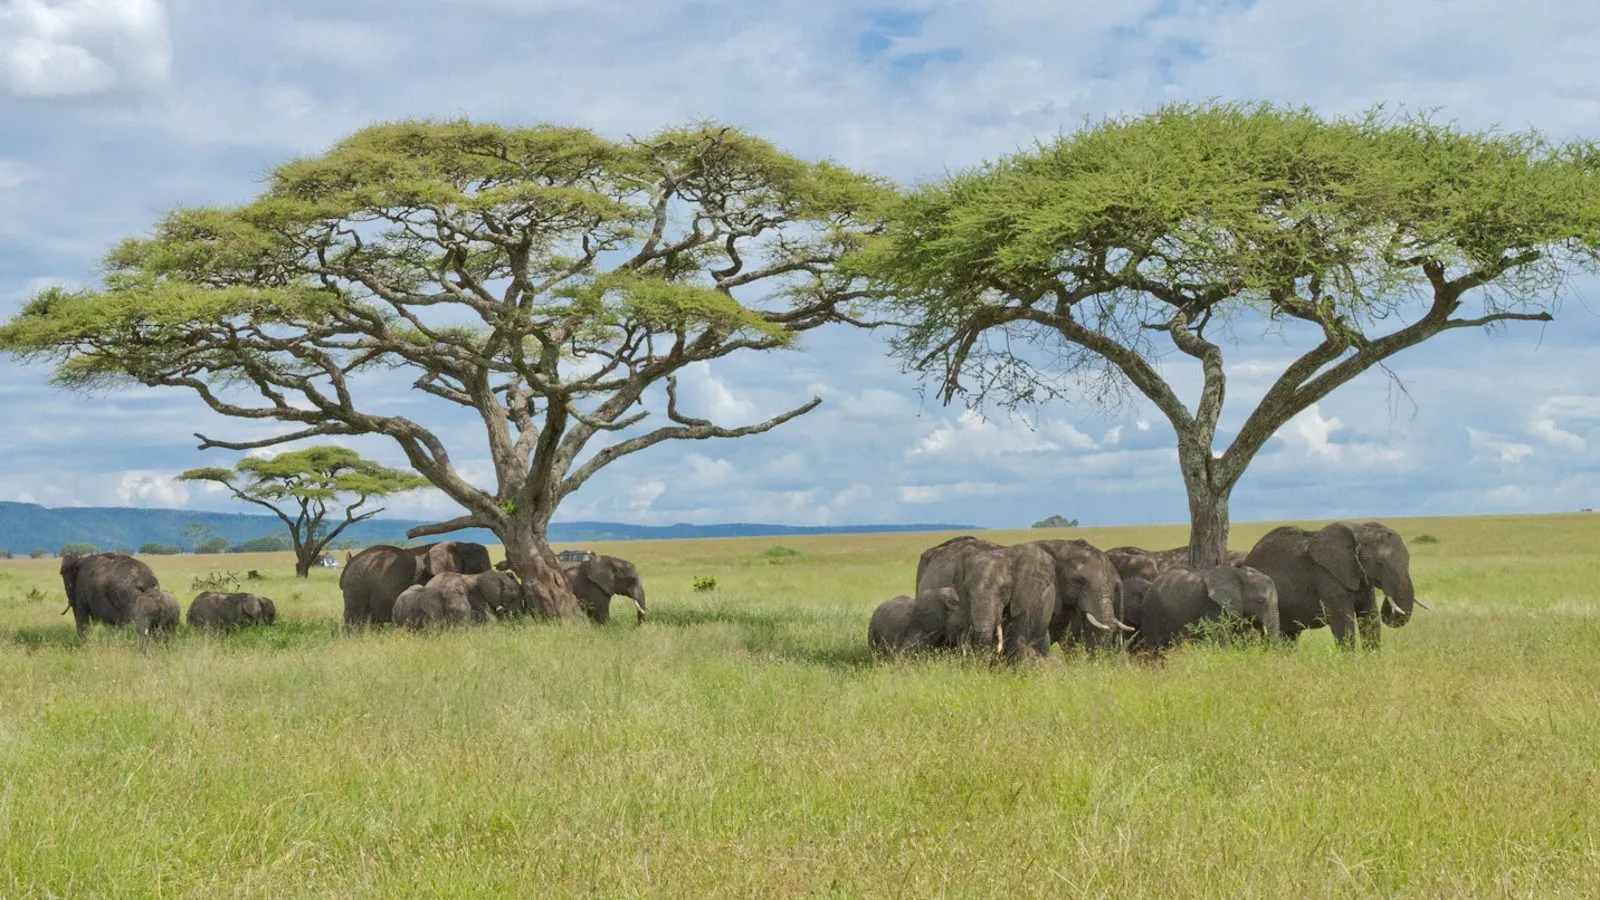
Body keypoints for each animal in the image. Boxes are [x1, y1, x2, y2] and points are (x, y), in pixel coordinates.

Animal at [1243, 521, 1420, 650]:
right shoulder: (1327, 577)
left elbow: (1370, 618)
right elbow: (1343, 623)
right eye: (1379, 564)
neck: (1359, 530)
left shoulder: (1361, 578)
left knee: (1290, 635)